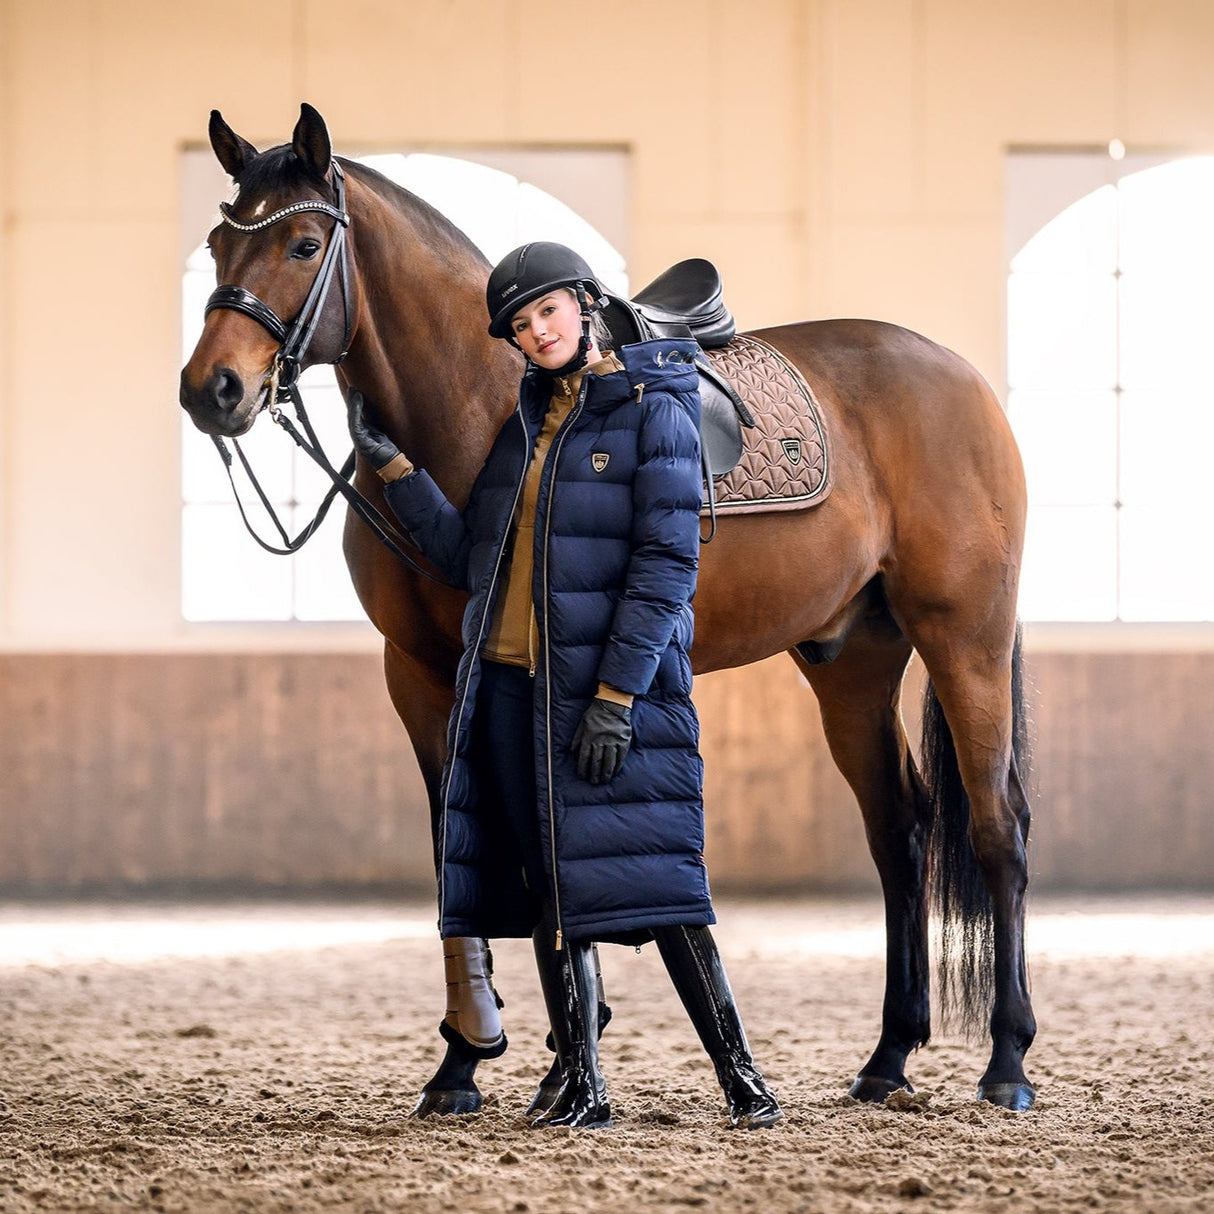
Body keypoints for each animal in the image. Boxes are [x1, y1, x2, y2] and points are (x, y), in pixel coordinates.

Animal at [180, 104, 1036, 1114]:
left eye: (305, 243)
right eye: (218, 243)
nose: (212, 389)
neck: (481, 408)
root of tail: (962, 379)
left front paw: (542, 1053)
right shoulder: (423, 672)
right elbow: (461, 849)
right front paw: (481, 1059)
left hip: (964, 639)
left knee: (995, 828)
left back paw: (1007, 1062)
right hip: (854, 661)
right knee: (900, 831)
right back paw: (888, 1057)